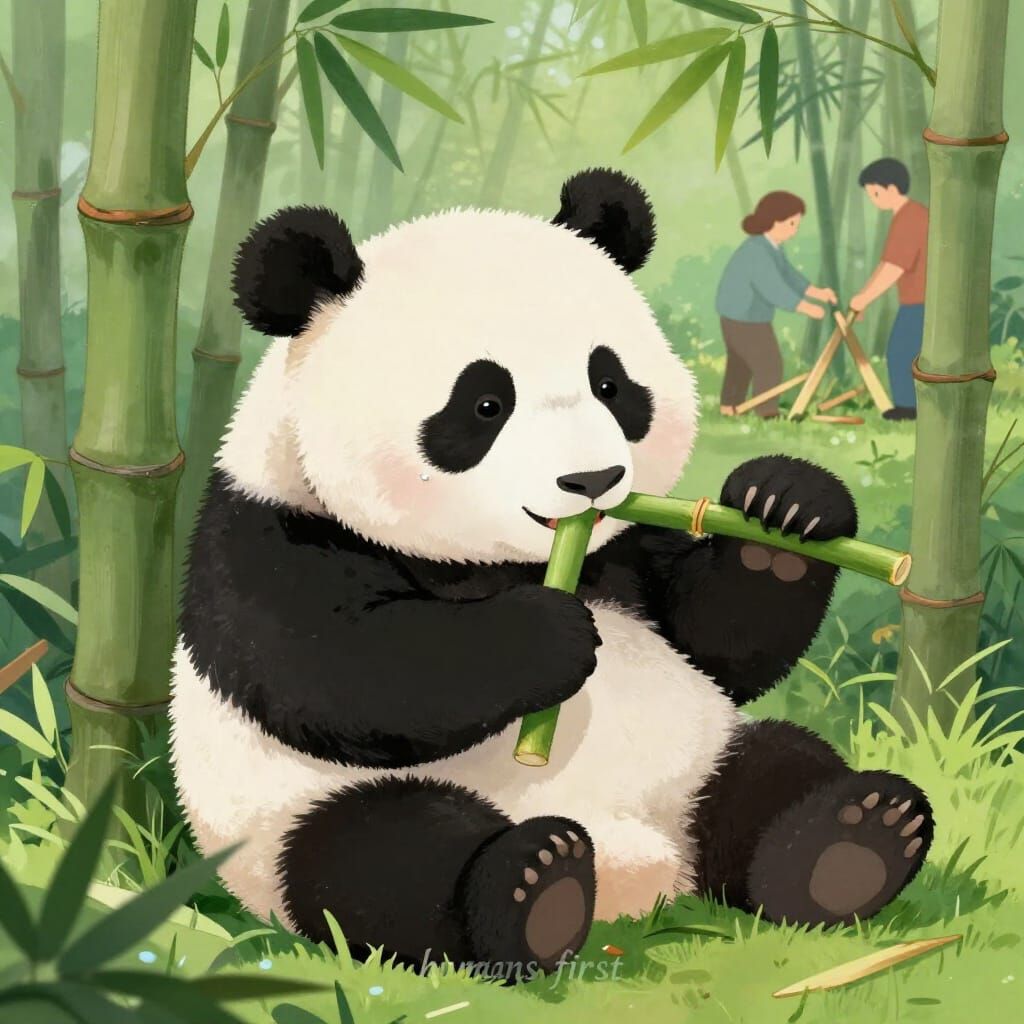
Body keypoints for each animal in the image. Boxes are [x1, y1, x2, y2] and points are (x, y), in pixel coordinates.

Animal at [170, 169, 934, 974]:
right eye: (484, 403)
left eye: (610, 384)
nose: (592, 480)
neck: (514, 562)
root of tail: (643, 867)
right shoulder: (268, 535)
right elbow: (340, 670)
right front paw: (547, 636)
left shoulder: (625, 548)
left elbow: (720, 640)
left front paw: (786, 505)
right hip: (292, 822)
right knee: (380, 858)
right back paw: (535, 887)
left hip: (700, 755)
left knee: (773, 767)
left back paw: (852, 841)